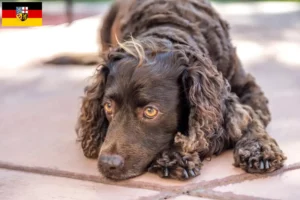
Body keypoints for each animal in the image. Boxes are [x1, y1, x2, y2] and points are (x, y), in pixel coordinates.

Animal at [49, 0, 286, 180]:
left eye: (150, 111)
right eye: (108, 106)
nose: (108, 164)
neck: (169, 27)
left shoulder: (248, 88)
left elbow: (251, 117)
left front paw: (259, 149)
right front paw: (175, 156)